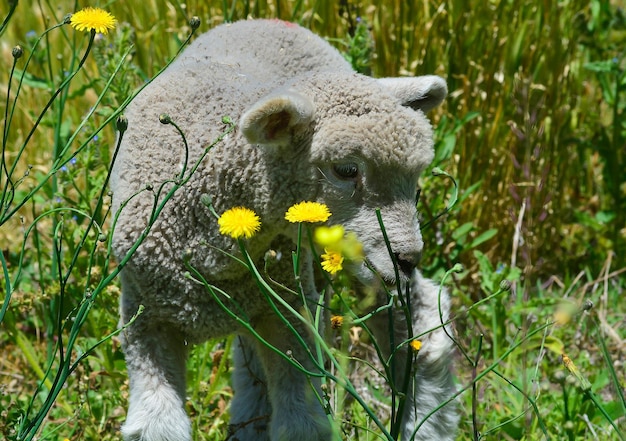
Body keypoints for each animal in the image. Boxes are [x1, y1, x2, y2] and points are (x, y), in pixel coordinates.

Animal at [109, 18, 456, 440]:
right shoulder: (145, 318)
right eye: (346, 169)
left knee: (419, 316)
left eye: (415, 178)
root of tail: (266, 21)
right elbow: (157, 424)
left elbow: (299, 421)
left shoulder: (292, 313)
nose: (407, 257)